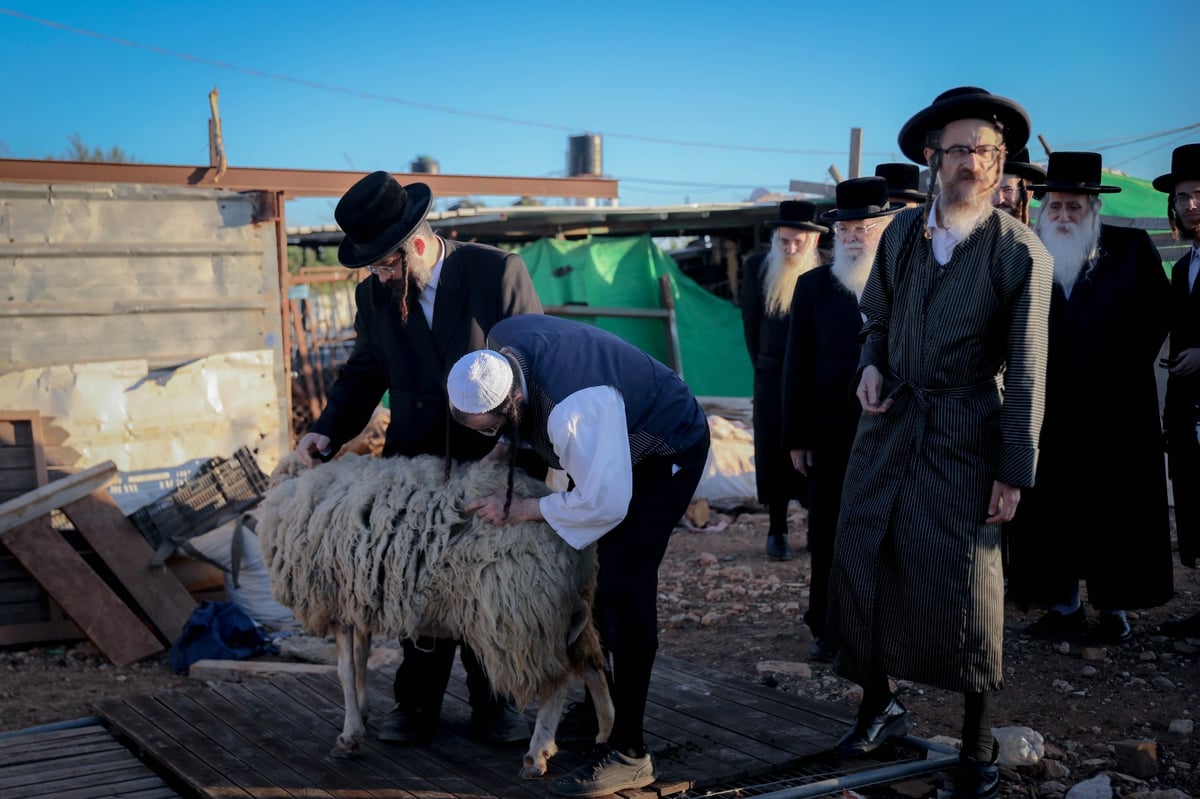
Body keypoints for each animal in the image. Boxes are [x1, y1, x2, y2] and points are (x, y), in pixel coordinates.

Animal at [256, 451, 614, 772]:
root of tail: (574, 550)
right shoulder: (360, 598)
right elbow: (360, 660)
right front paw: (362, 710)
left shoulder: (336, 599)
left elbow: (345, 670)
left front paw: (349, 737)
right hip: (558, 610)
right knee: (589, 663)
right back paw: (604, 731)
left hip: (520, 613)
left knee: (557, 680)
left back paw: (537, 754)